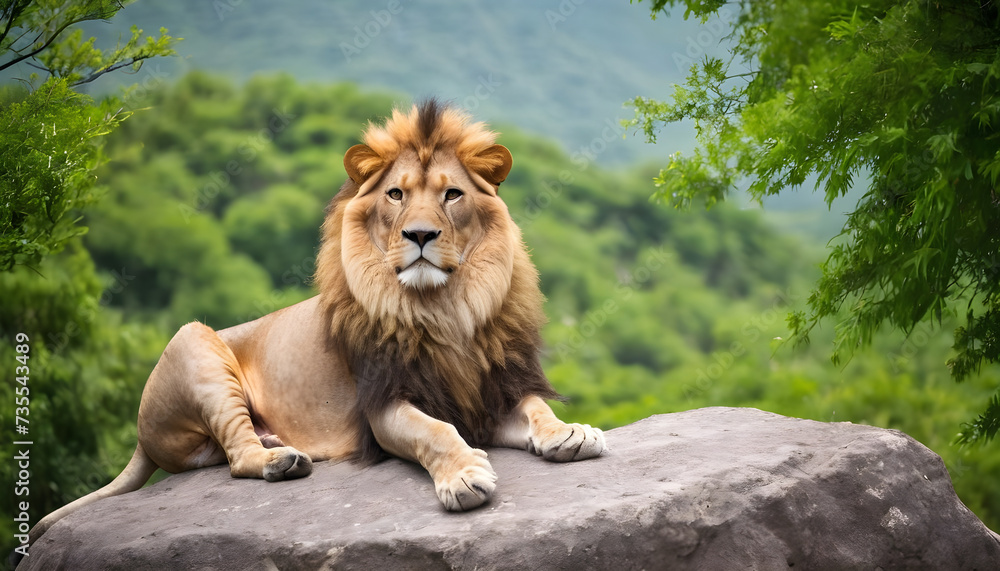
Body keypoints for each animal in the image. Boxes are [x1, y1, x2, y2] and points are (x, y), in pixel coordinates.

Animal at [25, 100, 606, 549]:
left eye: (452, 194)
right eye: (396, 194)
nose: (420, 234)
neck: (444, 307)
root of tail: (140, 438)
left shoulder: (491, 391)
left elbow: (535, 408)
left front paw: (570, 432)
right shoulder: (384, 405)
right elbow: (436, 432)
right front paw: (464, 477)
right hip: (193, 342)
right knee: (237, 456)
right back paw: (280, 461)